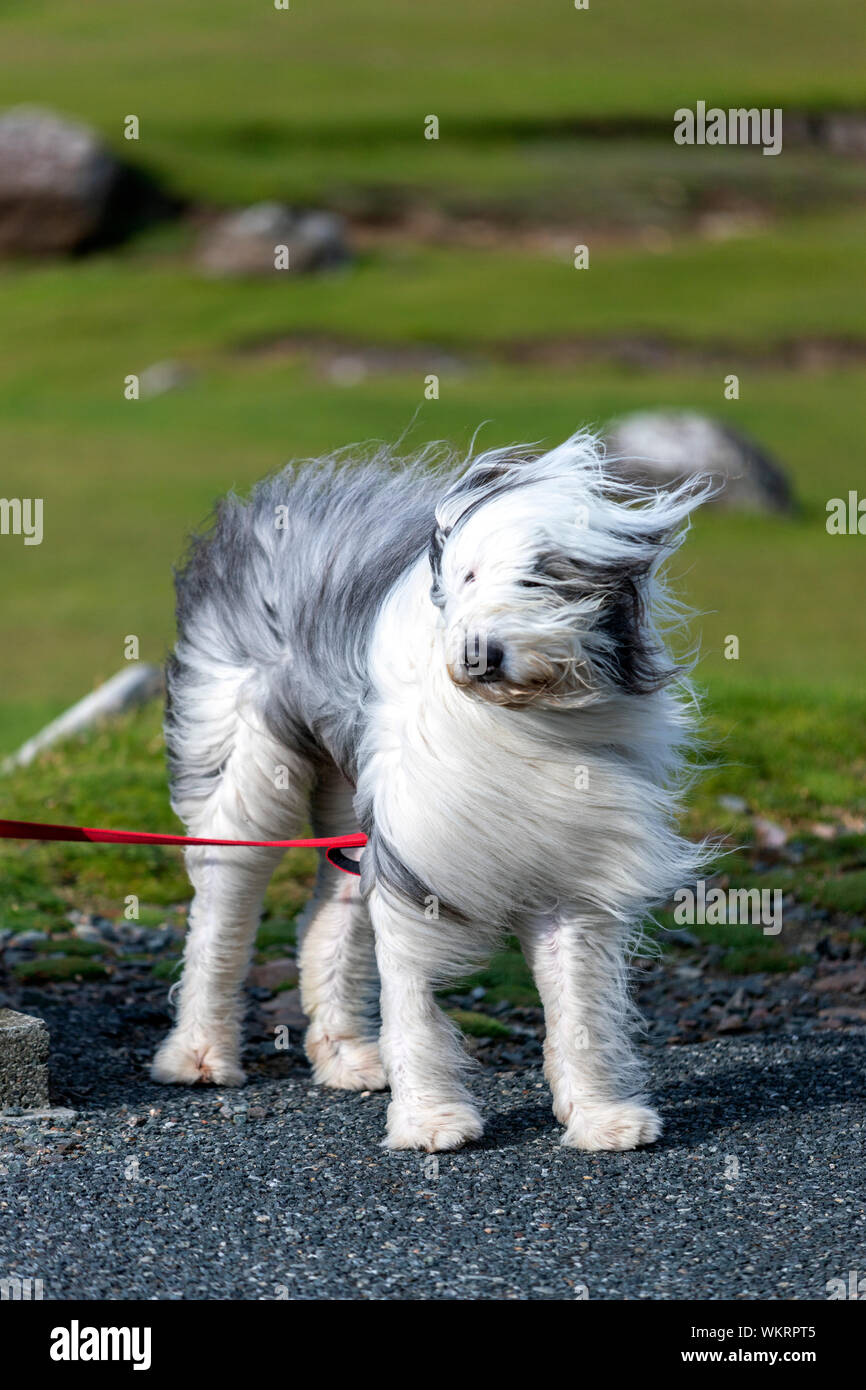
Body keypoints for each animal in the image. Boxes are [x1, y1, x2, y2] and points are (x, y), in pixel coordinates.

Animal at [152, 430, 711, 1150]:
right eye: (468, 576)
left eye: (541, 578)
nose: (481, 653)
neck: (513, 719)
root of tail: (272, 508)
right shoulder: (414, 857)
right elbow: (412, 991)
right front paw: (431, 1121)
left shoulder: (572, 863)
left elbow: (578, 997)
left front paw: (601, 1116)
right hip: (246, 760)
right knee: (225, 906)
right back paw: (198, 1053)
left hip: (352, 789)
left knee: (328, 914)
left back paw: (345, 1055)